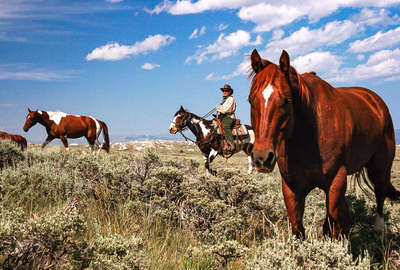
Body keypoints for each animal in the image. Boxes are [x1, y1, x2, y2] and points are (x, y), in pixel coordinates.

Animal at [248, 49, 398, 238]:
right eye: (251, 100)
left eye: (286, 100)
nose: (261, 158)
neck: (308, 136)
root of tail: (376, 102)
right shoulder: (292, 188)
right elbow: (298, 228)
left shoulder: (335, 182)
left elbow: (334, 227)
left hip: (380, 167)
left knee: (380, 192)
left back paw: (380, 228)